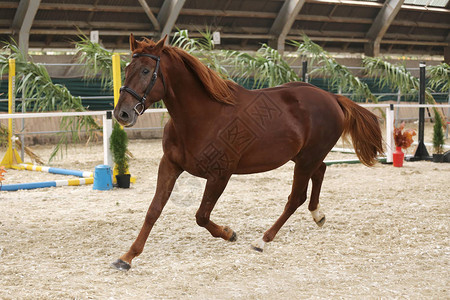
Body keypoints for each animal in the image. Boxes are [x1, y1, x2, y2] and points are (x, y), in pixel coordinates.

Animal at [110, 34, 382, 270]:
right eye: (127, 68)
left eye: (146, 71)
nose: (122, 113)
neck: (202, 117)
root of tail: (332, 97)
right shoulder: (169, 165)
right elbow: (153, 210)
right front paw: (127, 257)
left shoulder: (220, 175)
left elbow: (201, 215)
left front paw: (229, 233)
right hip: (305, 157)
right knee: (321, 171)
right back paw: (318, 215)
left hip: (305, 160)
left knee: (296, 198)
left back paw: (262, 240)